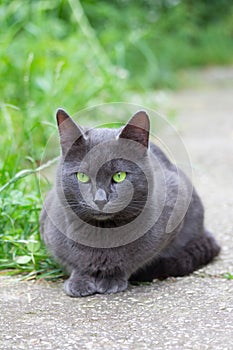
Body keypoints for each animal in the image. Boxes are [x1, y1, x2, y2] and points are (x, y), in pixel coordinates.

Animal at [40, 108, 220, 296]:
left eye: (119, 176)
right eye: (82, 176)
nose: (100, 199)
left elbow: (132, 260)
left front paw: (111, 279)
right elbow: (74, 261)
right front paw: (79, 281)